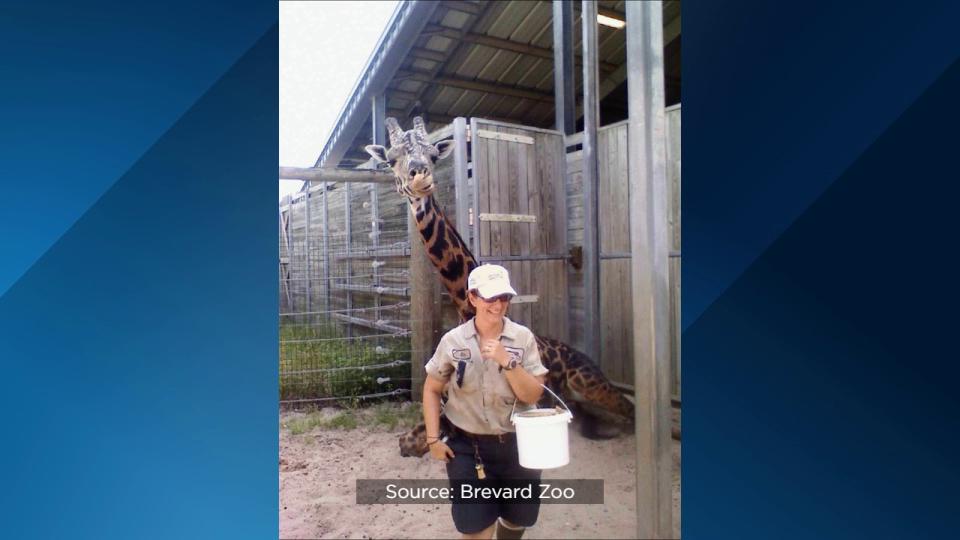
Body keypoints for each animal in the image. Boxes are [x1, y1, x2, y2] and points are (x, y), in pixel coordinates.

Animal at [368, 118, 636, 456]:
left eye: (434, 155)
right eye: (391, 160)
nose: (421, 178)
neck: (466, 310)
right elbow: (409, 439)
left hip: (589, 382)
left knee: (630, 409)